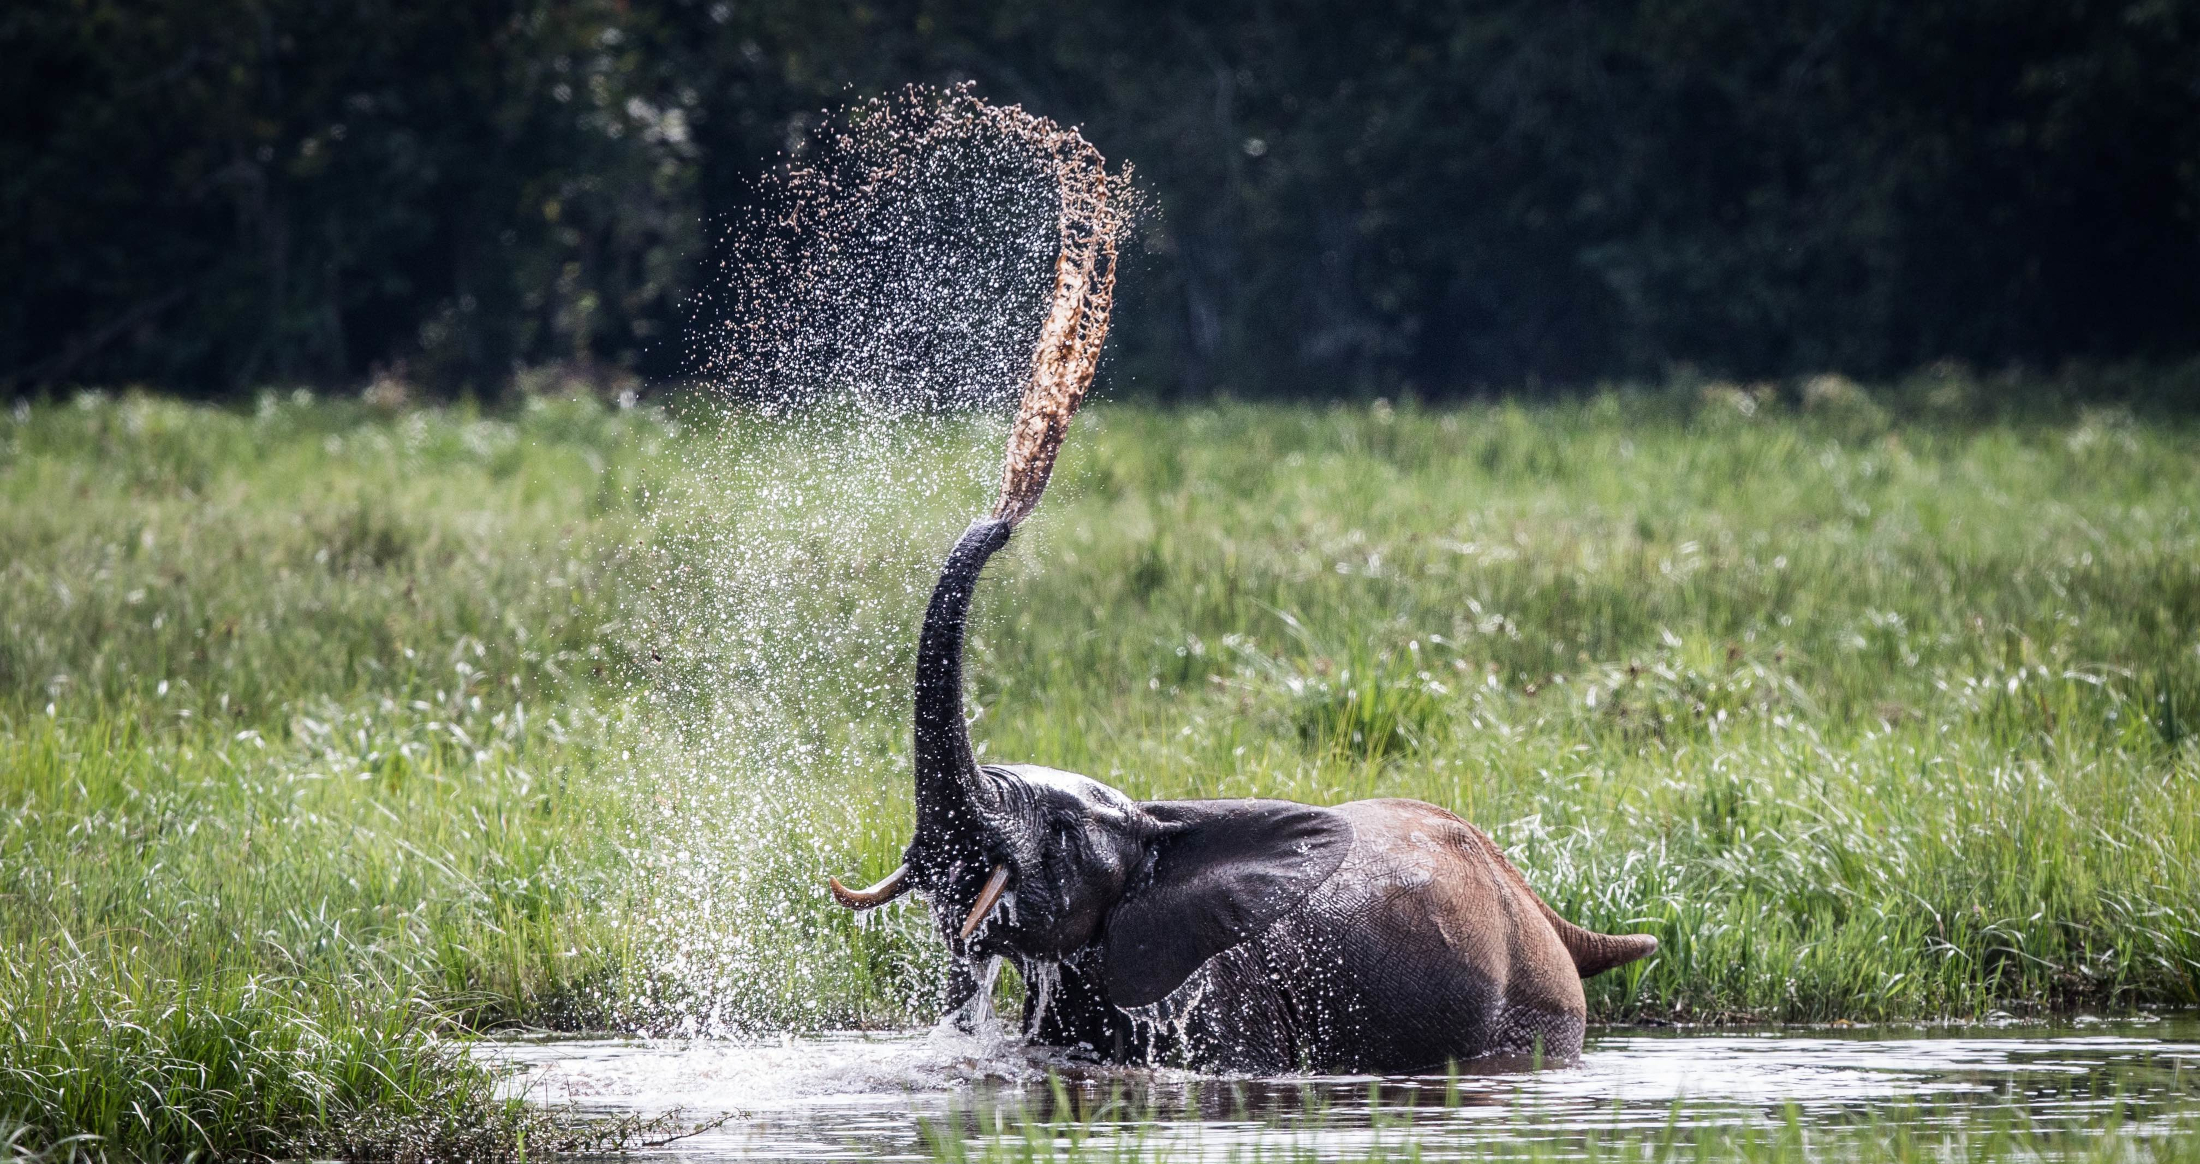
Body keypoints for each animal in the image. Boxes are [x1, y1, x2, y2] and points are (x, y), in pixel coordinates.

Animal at [831, 517, 1654, 1069]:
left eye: (1061, 830)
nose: (1001, 525)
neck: (1156, 822)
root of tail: (1536, 901)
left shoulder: (1227, 1005)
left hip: (1535, 1007)